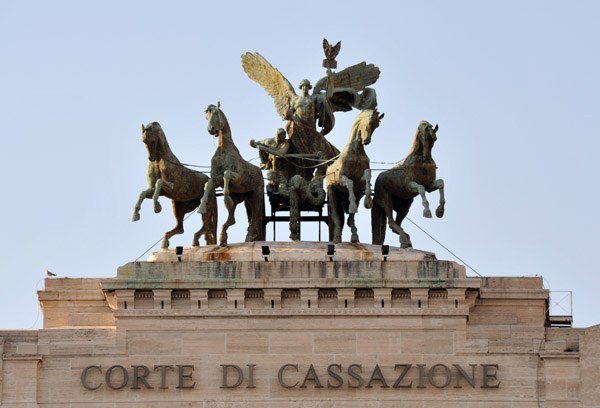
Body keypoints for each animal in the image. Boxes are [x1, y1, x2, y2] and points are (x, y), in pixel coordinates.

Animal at [199, 103, 264, 247]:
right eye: (206, 117)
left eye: (216, 113)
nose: (211, 129)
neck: (224, 150)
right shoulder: (216, 179)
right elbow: (208, 184)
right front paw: (201, 207)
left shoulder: (237, 178)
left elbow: (227, 174)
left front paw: (226, 200)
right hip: (242, 199)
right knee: (233, 219)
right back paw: (223, 238)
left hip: (256, 197)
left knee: (256, 218)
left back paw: (250, 236)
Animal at [326, 108, 382, 244]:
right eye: (369, 122)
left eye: (377, 125)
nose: (366, 141)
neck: (355, 152)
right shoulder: (342, 179)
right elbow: (350, 183)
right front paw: (352, 206)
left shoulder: (360, 184)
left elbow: (367, 177)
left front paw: (368, 202)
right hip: (332, 194)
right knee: (336, 217)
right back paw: (337, 236)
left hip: (356, 195)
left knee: (350, 219)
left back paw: (354, 236)